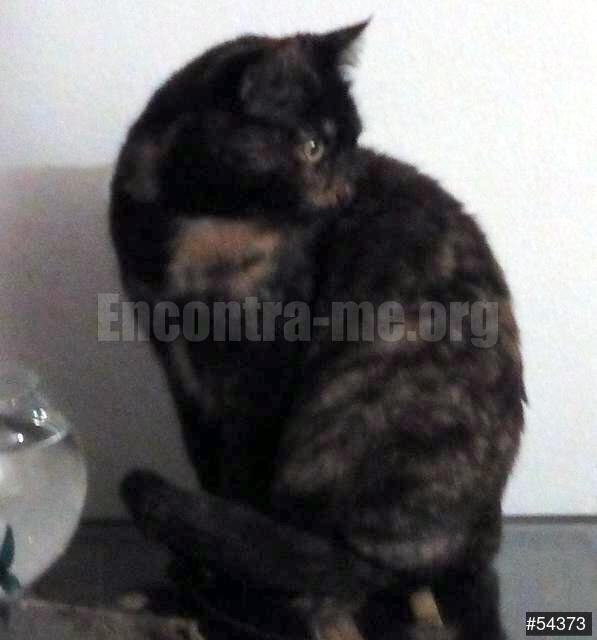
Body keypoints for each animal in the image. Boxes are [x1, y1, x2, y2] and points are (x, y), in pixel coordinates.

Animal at [110, 21, 524, 640]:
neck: (199, 222)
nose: (347, 192)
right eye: (312, 146)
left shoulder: (262, 360)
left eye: (351, 142)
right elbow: (204, 459)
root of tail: (478, 540)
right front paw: (199, 562)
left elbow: (241, 471)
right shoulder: (175, 362)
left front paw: (222, 569)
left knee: (342, 568)